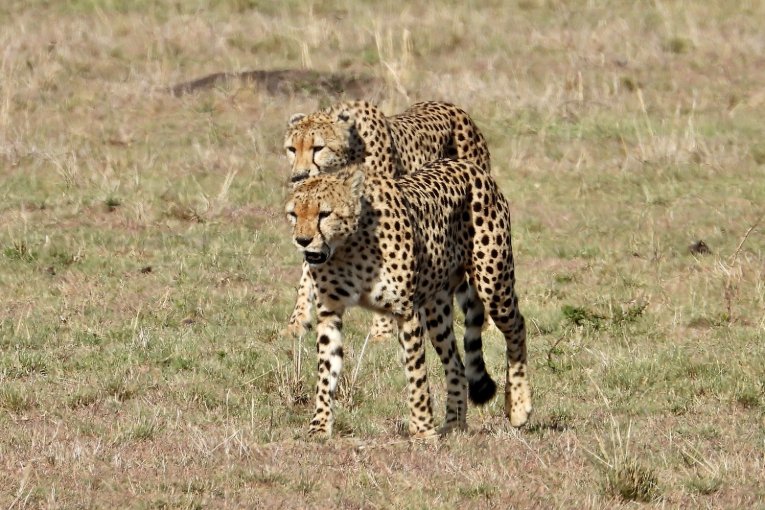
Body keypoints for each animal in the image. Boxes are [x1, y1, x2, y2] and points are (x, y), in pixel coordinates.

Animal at [284, 160, 528, 438]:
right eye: (294, 214)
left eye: (324, 213)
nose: (302, 240)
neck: (346, 247)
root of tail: (467, 165)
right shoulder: (329, 312)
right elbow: (326, 371)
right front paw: (320, 426)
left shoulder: (406, 312)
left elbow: (416, 372)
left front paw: (422, 429)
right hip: (437, 310)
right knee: (456, 365)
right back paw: (454, 424)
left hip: (494, 284)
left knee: (517, 327)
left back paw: (518, 407)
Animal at [286, 100, 490, 342]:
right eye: (292, 149)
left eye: (318, 148)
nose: (298, 177)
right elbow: (309, 270)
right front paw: (297, 322)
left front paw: (381, 331)